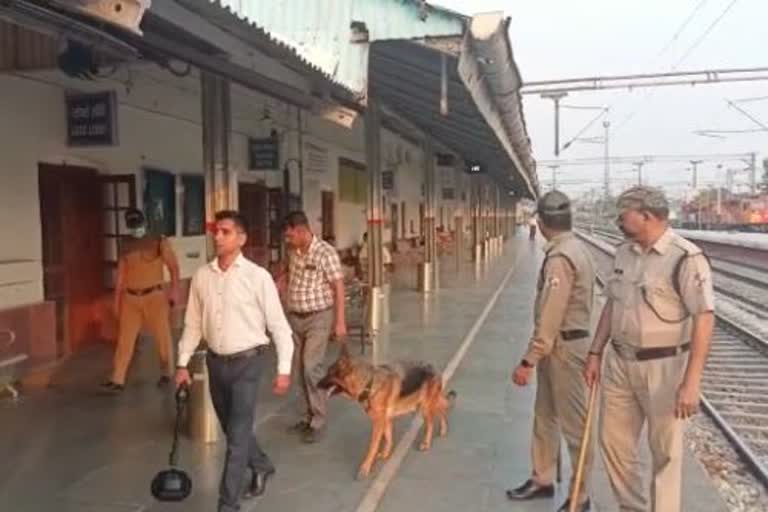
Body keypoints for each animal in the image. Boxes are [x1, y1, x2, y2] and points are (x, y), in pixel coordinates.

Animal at [318, 346, 456, 478]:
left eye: (329, 374)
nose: (316, 385)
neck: (369, 384)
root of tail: (433, 366)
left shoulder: (378, 423)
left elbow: (373, 446)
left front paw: (365, 468)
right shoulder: (386, 420)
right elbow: (388, 438)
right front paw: (385, 455)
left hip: (424, 407)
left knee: (430, 424)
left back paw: (426, 443)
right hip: (423, 404)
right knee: (441, 409)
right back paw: (443, 429)